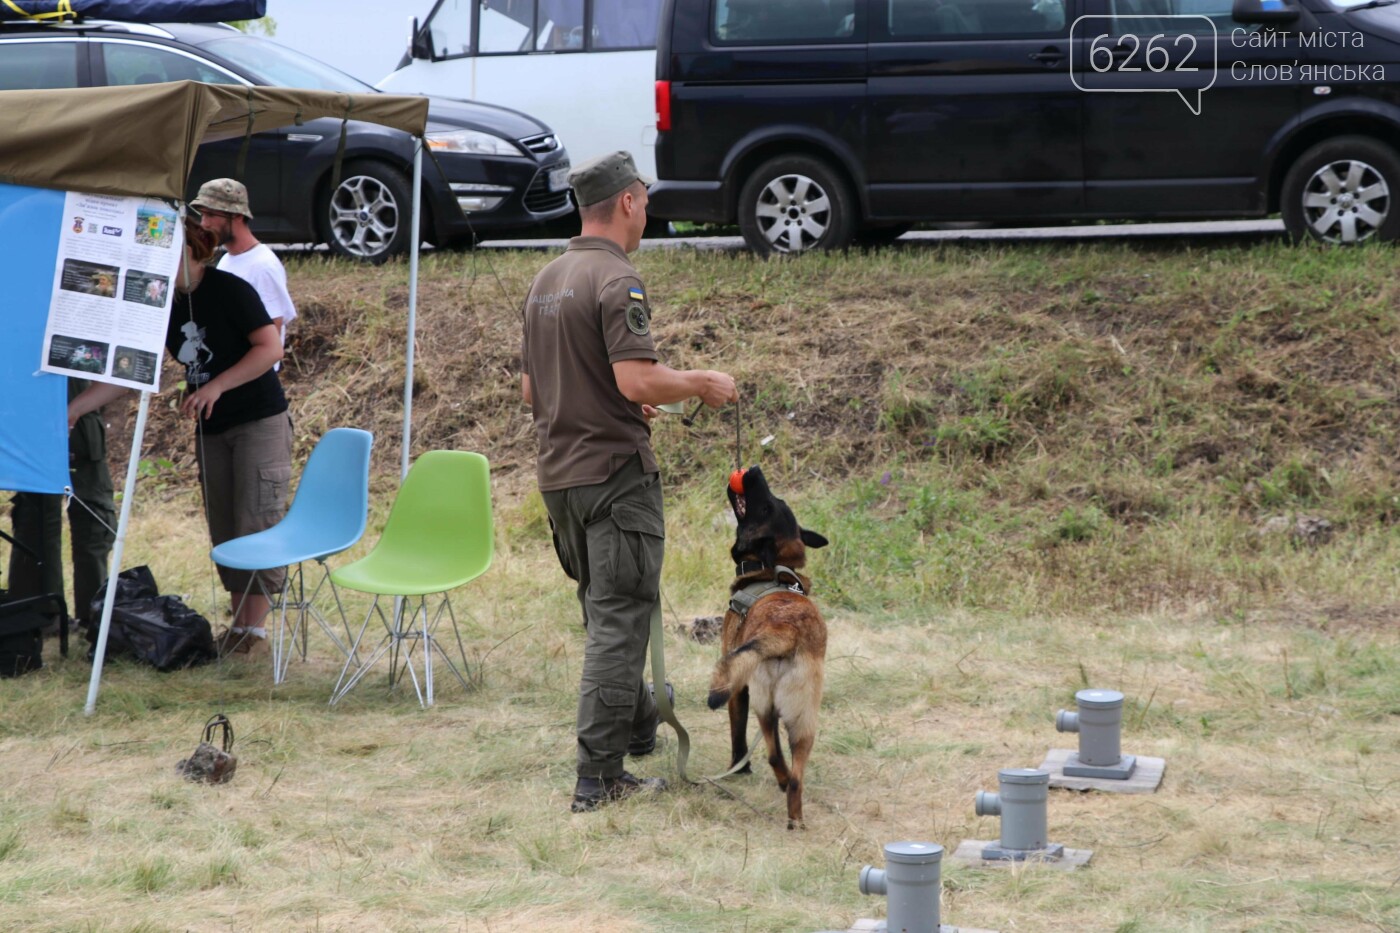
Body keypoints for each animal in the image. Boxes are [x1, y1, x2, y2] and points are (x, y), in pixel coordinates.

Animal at [705, 467, 823, 823]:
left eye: (766, 508)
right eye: (777, 501)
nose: (754, 470)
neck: (769, 571)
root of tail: (786, 631)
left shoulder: (737, 687)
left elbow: (737, 735)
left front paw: (737, 768)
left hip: (766, 706)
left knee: (773, 755)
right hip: (798, 720)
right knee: (792, 772)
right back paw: (794, 815)